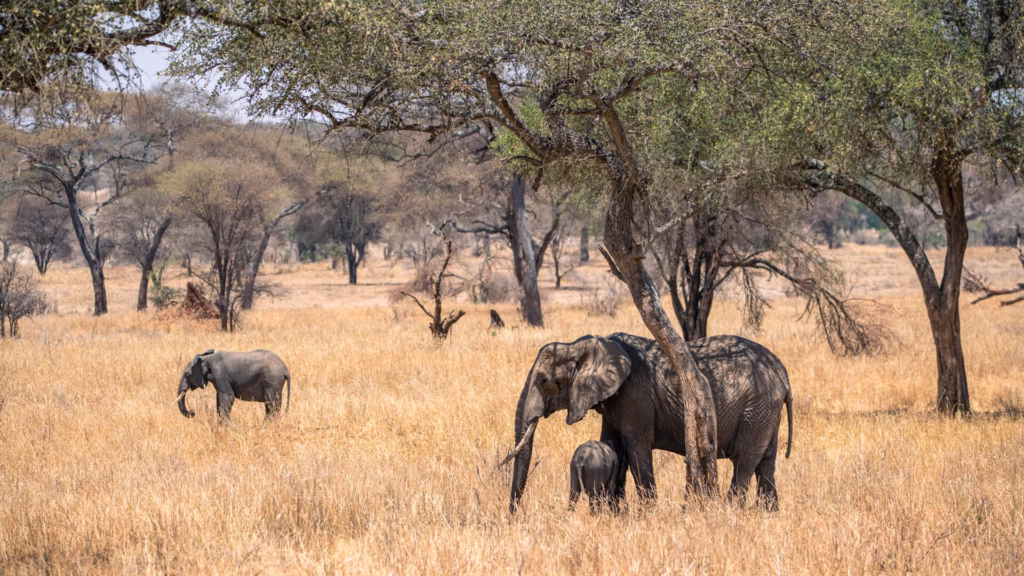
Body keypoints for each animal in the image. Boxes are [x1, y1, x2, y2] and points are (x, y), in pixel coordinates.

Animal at [505, 333, 793, 514]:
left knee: (744, 462)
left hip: (757, 408)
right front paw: (616, 515)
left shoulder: (634, 394)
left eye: (543, 381)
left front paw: (646, 516)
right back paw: (769, 516)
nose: (515, 516)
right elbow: (613, 445)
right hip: (766, 412)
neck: (579, 344)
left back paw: (732, 512)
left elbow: (637, 448)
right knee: (766, 463)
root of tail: (782, 373)